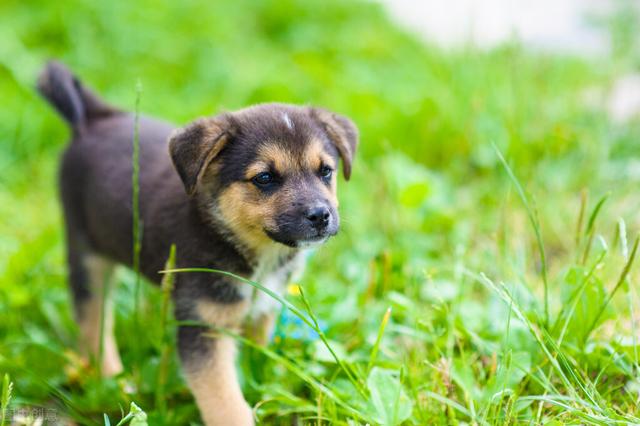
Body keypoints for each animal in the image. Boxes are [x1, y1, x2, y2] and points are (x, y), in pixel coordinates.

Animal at [38, 61, 360, 424]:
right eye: (264, 178)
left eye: (326, 171)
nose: (320, 215)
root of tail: (94, 118)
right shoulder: (204, 327)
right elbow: (225, 401)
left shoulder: (263, 309)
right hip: (85, 250)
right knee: (93, 319)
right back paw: (112, 380)